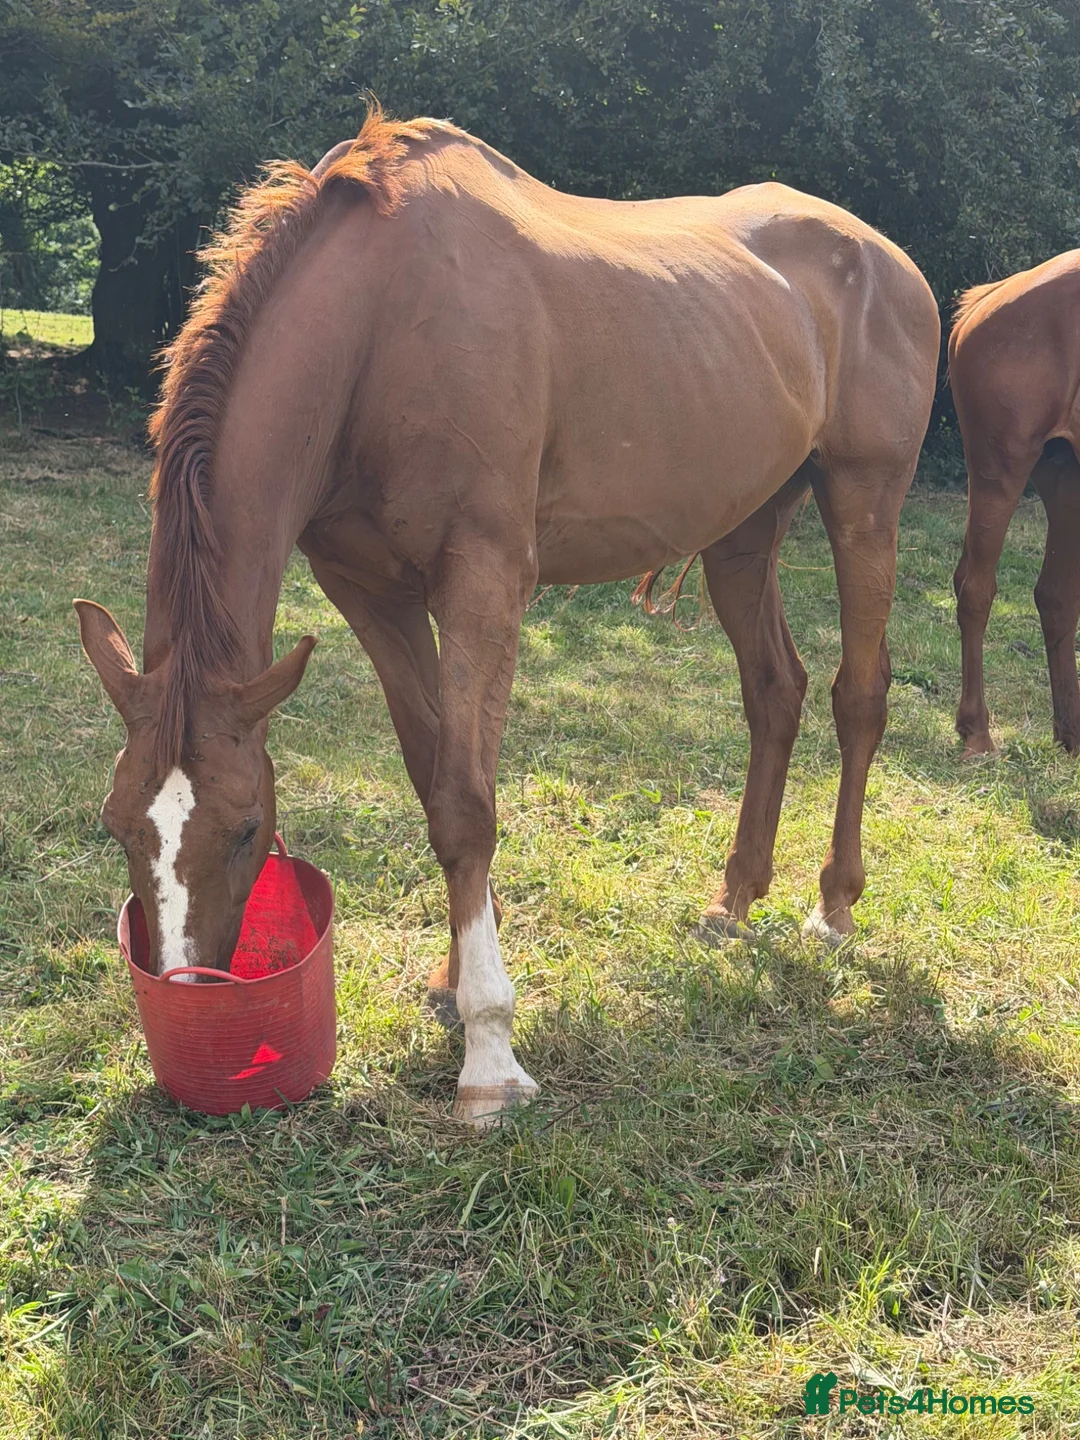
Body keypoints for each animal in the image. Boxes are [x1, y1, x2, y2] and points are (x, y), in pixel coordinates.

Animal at [75, 109, 939, 1127]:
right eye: (117, 825)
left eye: (248, 827)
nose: (188, 988)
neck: (380, 323)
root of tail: (891, 261)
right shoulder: (371, 594)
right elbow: (433, 779)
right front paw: (454, 983)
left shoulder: (484, 581)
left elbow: (466, 804)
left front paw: (489, 1051)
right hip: (743, 531)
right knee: (775, 692)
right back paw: (734, 901)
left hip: (864, 501)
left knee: (858, 695)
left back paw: (833, 907)